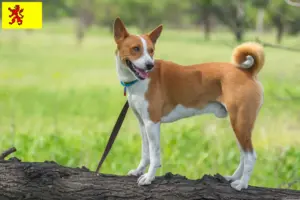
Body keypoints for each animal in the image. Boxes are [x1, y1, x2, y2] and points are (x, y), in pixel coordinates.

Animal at [113, 17, 264, 191]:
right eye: (136, 48)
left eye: (151, 51)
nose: (149, 65)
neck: (137, 82)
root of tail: (247, 72)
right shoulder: (143, 123)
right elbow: (145, 152)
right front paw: (138, 171)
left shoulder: (152, 123)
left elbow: (154, 154)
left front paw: (149, 177)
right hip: (239, 125)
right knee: (243, 154)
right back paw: (233, 177)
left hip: (240, 122)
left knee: (251, 155)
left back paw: (242, 184)